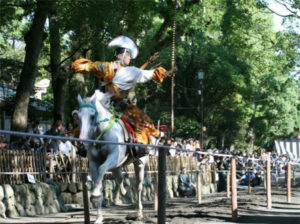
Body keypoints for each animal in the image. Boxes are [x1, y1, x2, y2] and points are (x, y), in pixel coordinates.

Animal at [77, 90, 148, 223]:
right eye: (78, 117)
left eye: (92, 116)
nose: (82, 143)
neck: (102, 134)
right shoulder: (94, 163)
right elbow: (98, 182)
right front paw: (99, 217)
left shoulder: (114, 157)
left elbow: (102, 169)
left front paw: (95, 195)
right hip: (116, 167)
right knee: (120, 178)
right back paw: (123, 192)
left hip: (139, 163)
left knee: (139, 186)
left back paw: (139, 213)